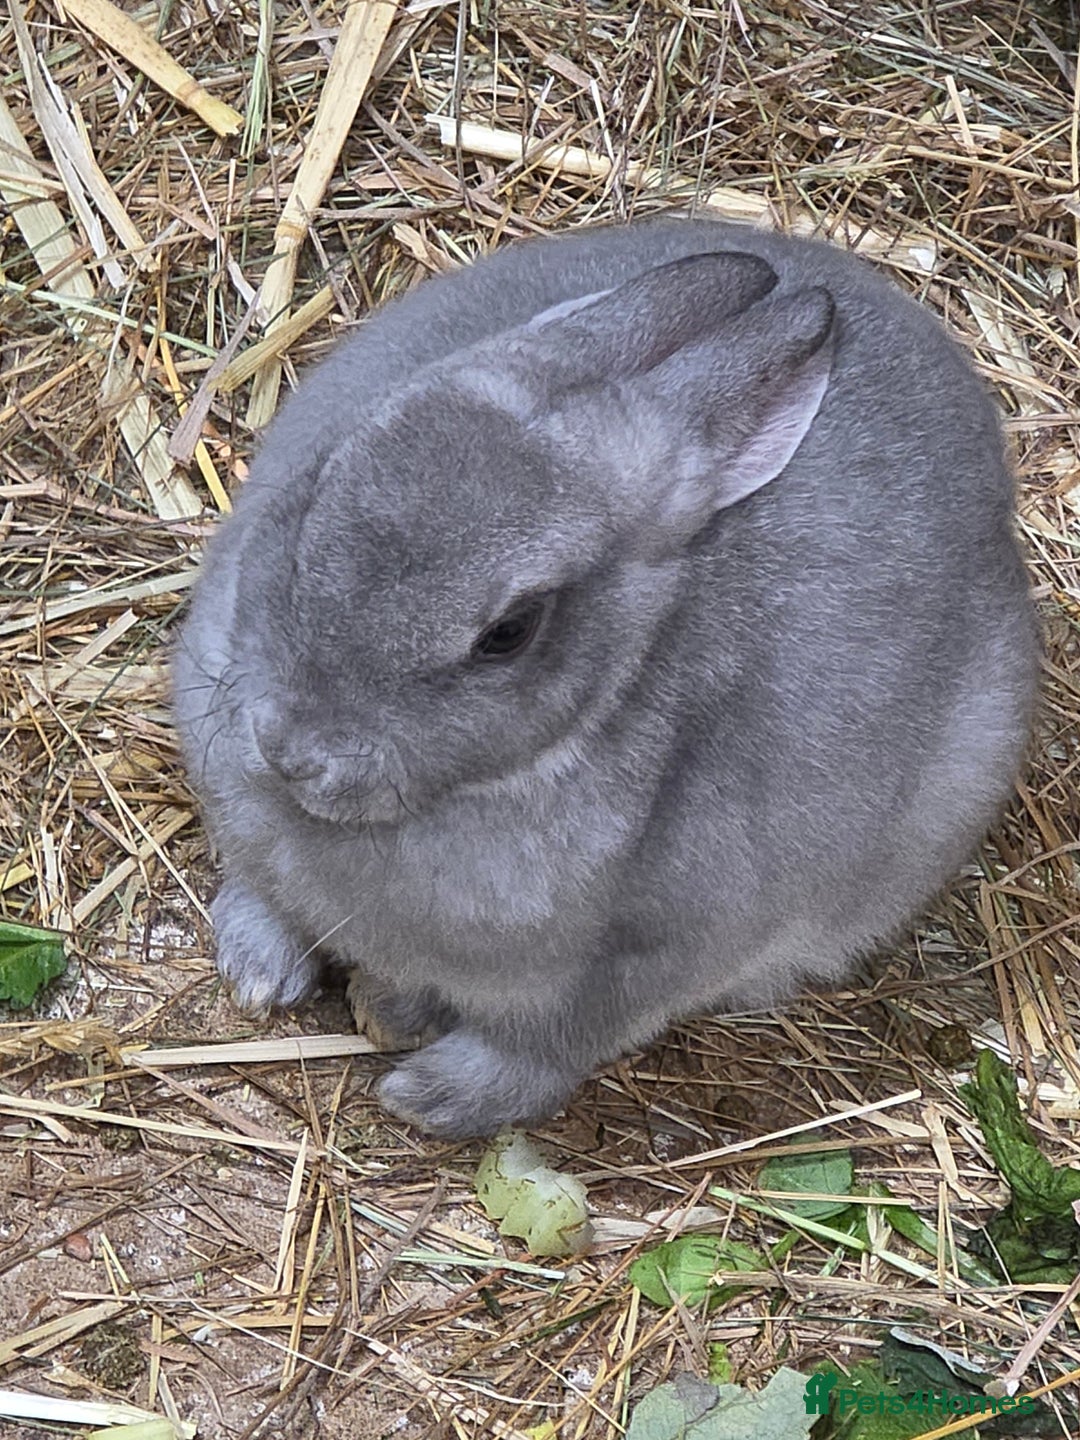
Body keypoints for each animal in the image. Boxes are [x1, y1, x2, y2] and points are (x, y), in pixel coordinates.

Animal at [171, 218, 1038, 1139]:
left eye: (508, 634)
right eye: (325, 482)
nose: (291, 750)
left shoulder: (631, 974)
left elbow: (538, 1056)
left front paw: (427, 1094)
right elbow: (264, 892)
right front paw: (259, 977)